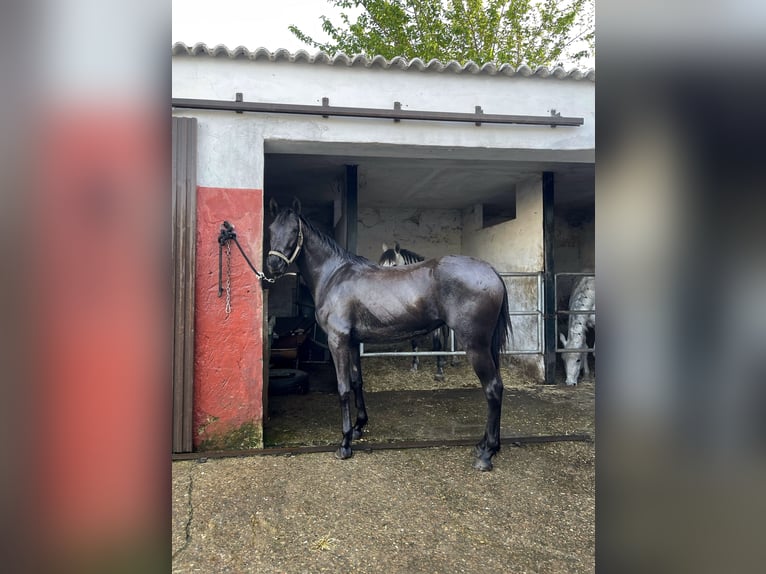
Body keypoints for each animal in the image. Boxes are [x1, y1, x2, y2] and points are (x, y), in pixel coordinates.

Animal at [380, 244, 452, 382]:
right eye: (380, 265)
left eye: (394, 265)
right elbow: (414, 343)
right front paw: (414, 365)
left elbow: (437, 345)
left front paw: (439, 371)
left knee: (446, 335)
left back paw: (447, 359)